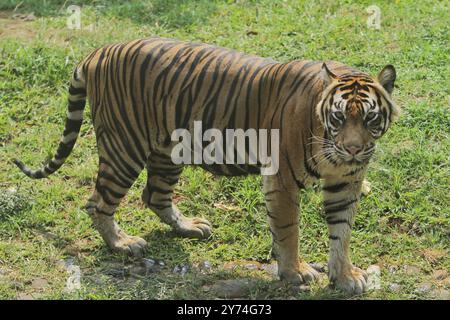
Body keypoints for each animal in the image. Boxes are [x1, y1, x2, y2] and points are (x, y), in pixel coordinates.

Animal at [13, 36, 398, 294]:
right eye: (338, 117)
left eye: (369, 118)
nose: (353, 149)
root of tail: (99, 50)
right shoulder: (283, 179)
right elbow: (289, 230)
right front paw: (295, 271)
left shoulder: (345, 182)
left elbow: (342, 232)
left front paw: (345, 276)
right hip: (124, 147)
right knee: (98, 202)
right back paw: (122, 243)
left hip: (168, 151)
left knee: (154, 195)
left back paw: (188, 227)